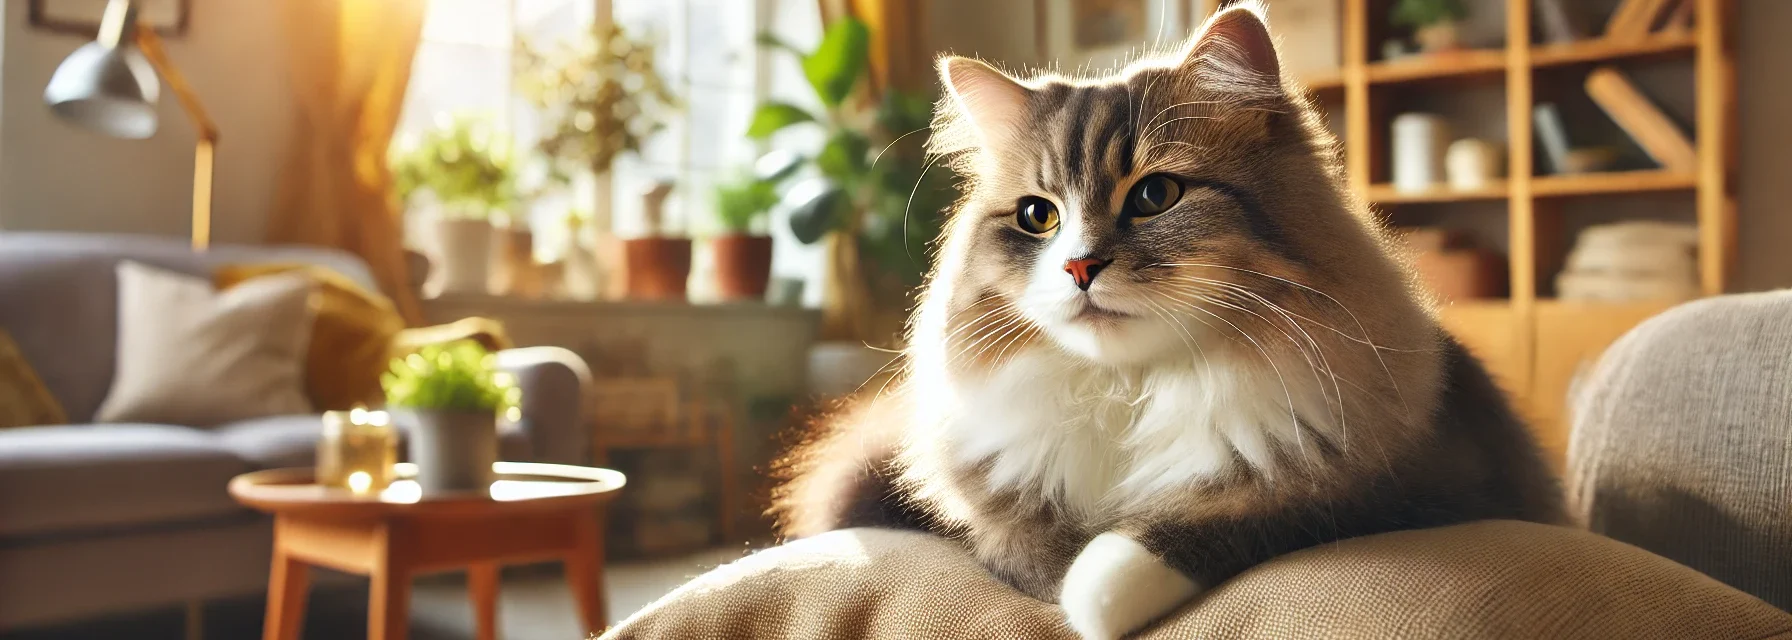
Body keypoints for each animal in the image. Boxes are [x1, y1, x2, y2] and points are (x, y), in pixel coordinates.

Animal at [774, 2, 1569, 634]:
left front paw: (1093, 589)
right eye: (1039, 216)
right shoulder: (994, 495)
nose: (1079, 268)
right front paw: (1059, 574)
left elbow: (1216, 524)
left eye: (1155, 195)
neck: (1131, 389)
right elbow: (1025, 547)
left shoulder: (1405, 484)